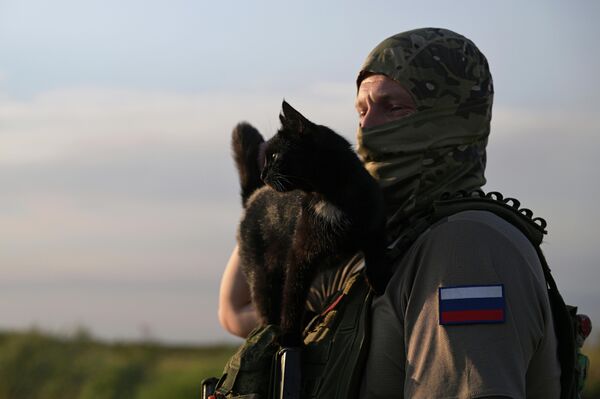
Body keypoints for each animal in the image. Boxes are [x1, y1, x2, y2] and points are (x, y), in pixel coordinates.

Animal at [230, 101, 390, 346]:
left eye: (274, 155)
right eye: (265, 158)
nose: (264, 174)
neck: (331, 197)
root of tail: (254, 195)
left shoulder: (375, 225)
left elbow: (376, 253)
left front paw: (379, 281)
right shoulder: (300, 254)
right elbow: (293, 298)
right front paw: (289, 337)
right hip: (262, 275)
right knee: (269, 307)